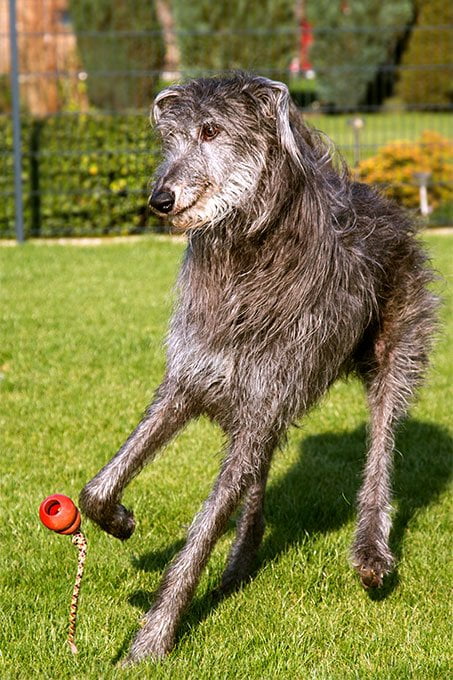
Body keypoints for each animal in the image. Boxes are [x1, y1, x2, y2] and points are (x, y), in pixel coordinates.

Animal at [79, 73, 436, 664]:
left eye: (211, 131)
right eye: (170, 137)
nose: (159, 199)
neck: (247, 254)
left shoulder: (262, 398)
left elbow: (202, 531)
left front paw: (150, 643)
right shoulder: (191, 380)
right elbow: (97, 488)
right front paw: (121, 521)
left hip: (394, 350)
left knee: (381, 443)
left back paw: (371, 550)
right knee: (262, 471)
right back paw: (243, 560)